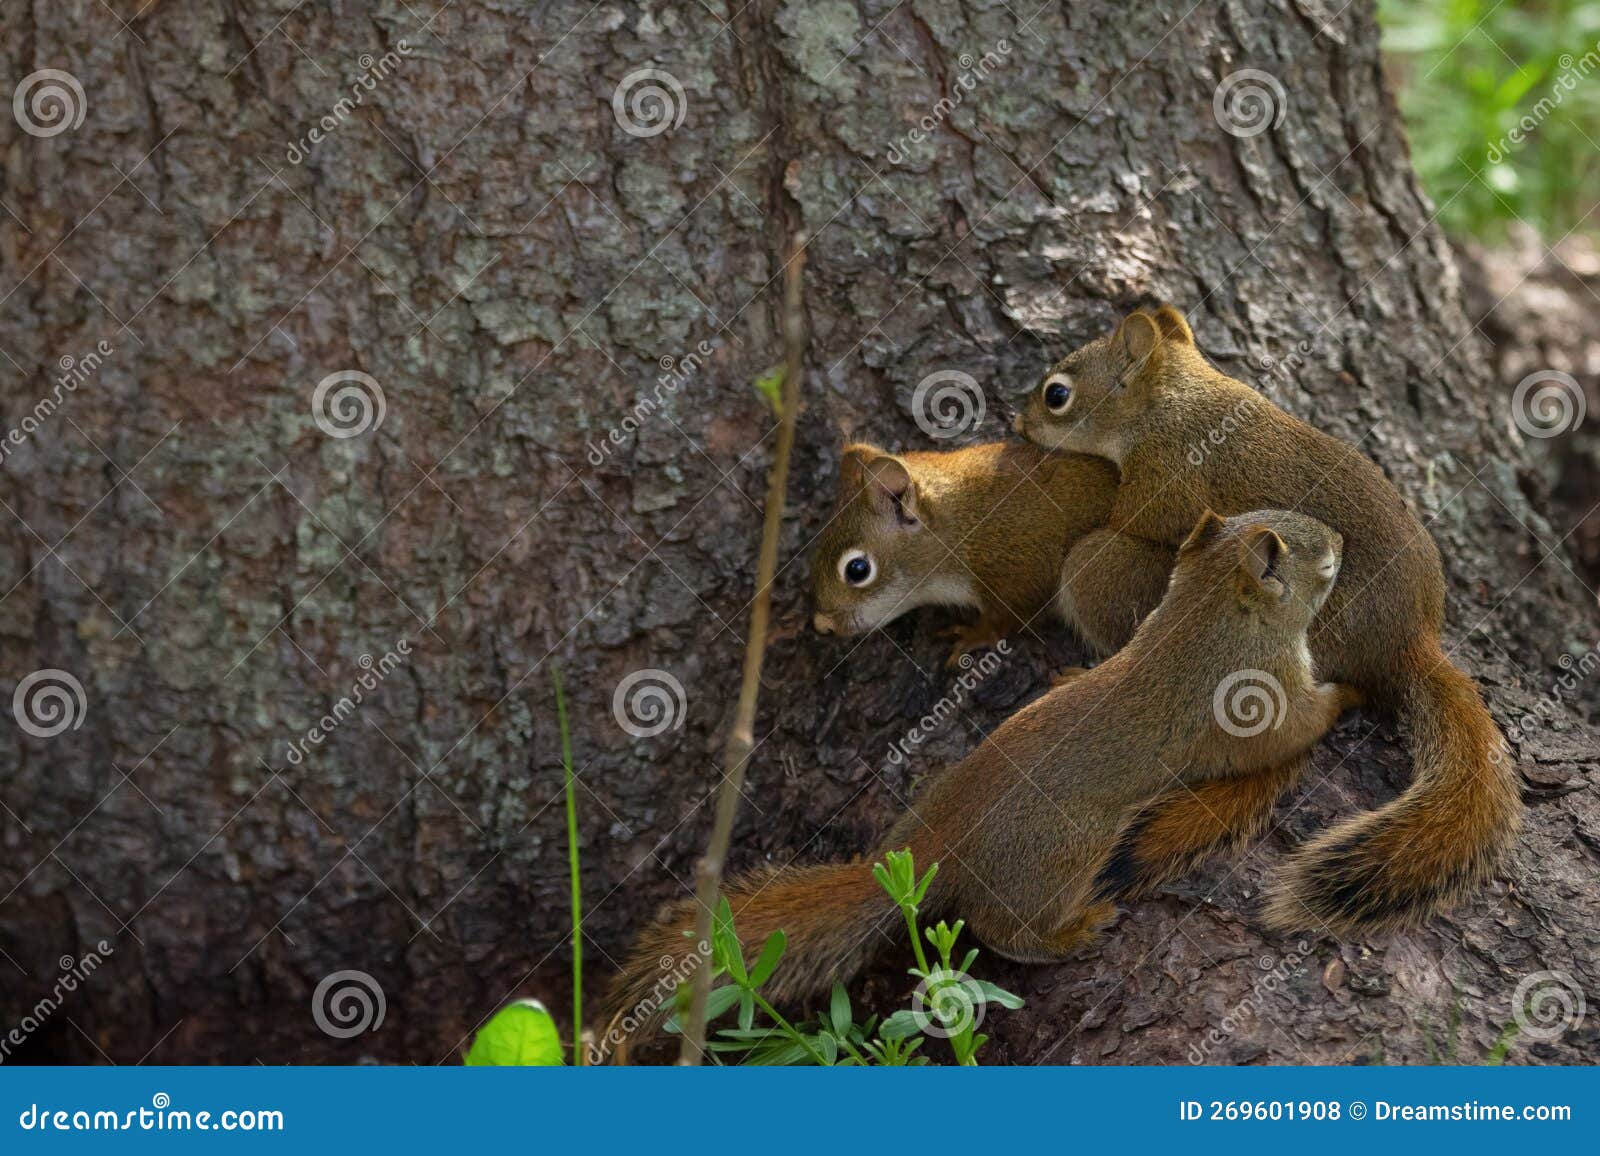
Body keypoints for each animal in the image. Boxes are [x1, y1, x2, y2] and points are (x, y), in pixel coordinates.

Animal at [604, 505, 1356, 1056]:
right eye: (1316, 552)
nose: (1344, 538)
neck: (1208, 610)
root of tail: (933, 852)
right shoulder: (1257, 697)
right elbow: (1295, 726)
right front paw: (1343, 696)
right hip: (1058, 856)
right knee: (1007, 931)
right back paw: (1077, 931)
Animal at [1017, 301, 1516, 935]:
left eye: (1057, 394)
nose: (1019, 423)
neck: (1175, 403)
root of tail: (1409, 641)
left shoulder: (1167, 477)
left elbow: (1131, 519)